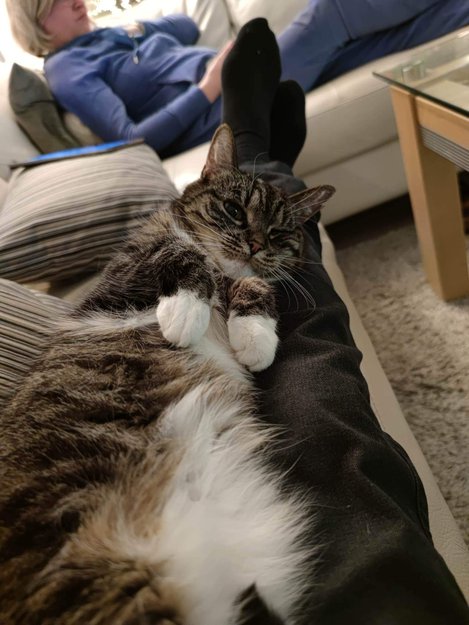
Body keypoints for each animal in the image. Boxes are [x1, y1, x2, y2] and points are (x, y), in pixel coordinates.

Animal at [0, 124, 335, 625]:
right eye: (234, 211)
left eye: (277, 232)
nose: (255, 244)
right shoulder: (130, 267)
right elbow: (180, 251)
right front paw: (185, 314)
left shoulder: (249, 278)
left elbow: (256, 283)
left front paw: (254, 338)